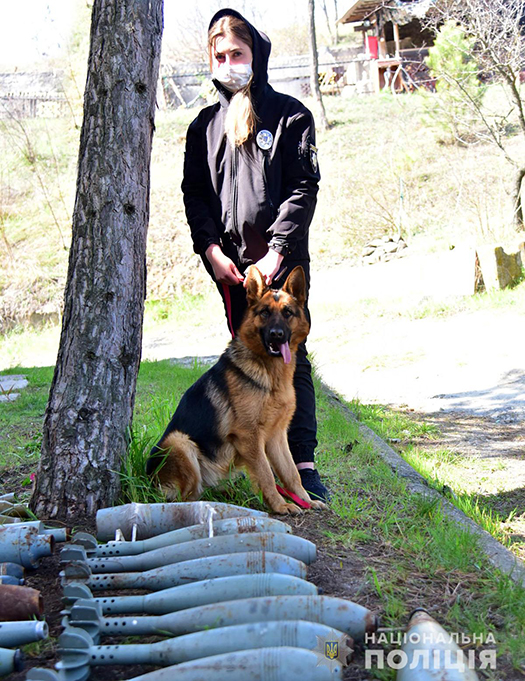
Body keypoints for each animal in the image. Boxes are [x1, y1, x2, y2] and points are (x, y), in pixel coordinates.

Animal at [146, 265, 326, 514]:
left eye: (288, 312)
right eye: (265, 313)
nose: (276, 334)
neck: (270, 374)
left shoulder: (277, 437)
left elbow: (291, 473)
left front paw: (305, 500)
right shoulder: (249, 437)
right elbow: (266, 474)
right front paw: (280, 505)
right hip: (179, 442)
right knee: (185, 498)